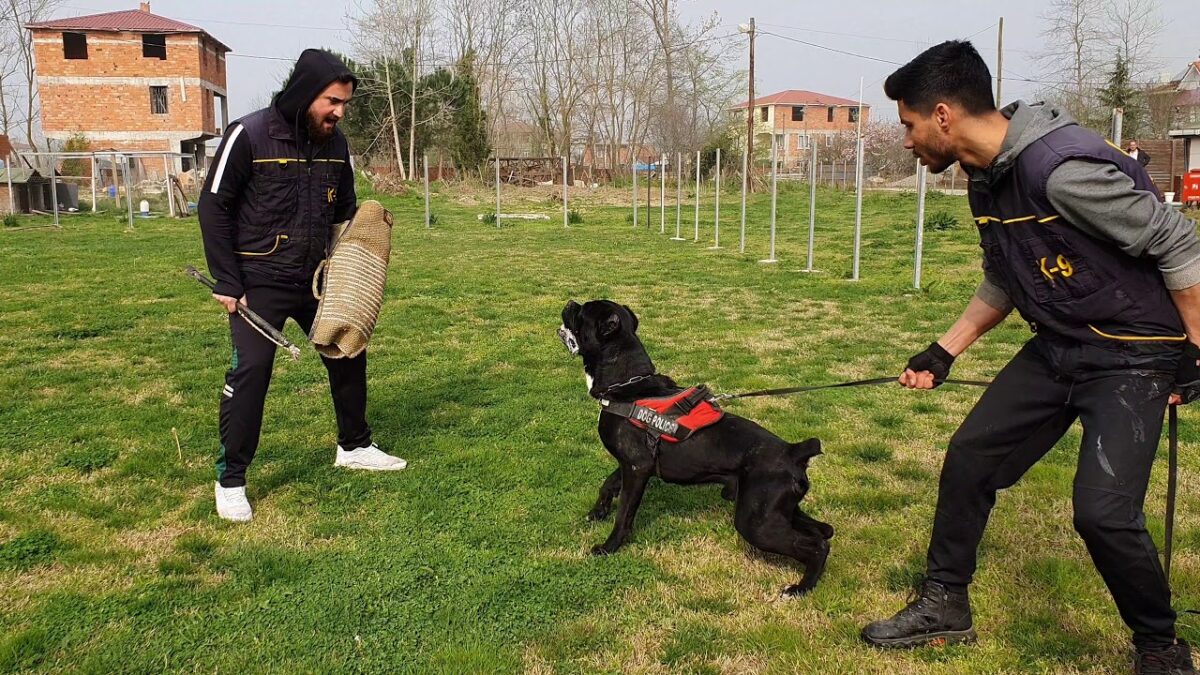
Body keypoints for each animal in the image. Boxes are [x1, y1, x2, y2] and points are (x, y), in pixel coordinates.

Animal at [556, 296, 830, 590]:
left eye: (583, 312)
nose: (571, 302)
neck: (626, 385)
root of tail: (793, 450)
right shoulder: (630, 464)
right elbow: (607, 485)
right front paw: (597, 512)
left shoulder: (636, 469)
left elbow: (624, 513)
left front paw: (609, 547)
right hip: (779, 512)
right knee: (825, 531)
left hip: (756, 523)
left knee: (816, 546)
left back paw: (801, 588)